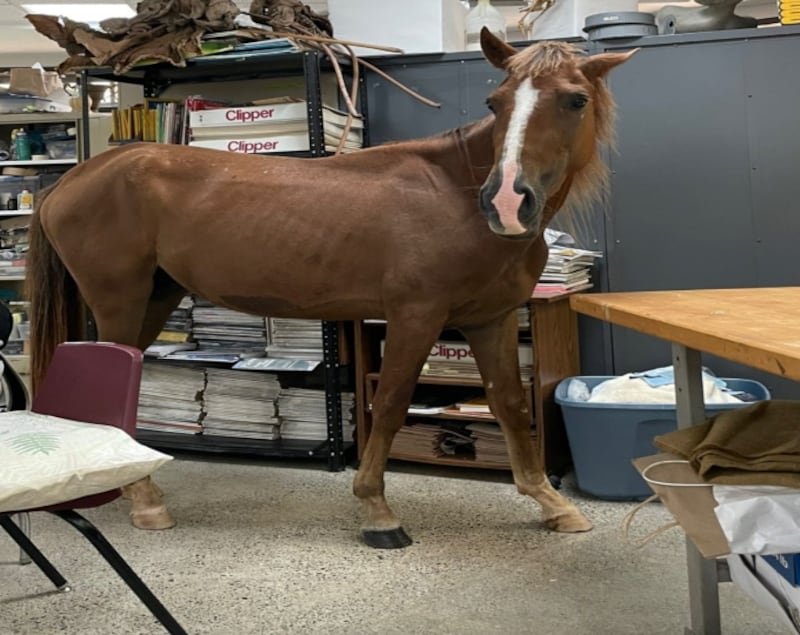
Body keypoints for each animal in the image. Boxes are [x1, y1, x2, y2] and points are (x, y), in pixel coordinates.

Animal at [28, 28, 636, 548]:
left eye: (575, 100)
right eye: (497, 103)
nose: (507, 200)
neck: (455, 192)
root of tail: (73, 179)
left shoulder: (493, 318)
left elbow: (509, 404)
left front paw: (552, 504)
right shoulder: (415, 315)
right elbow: (389, 404)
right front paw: (377, 511)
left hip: (156, 297)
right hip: (120, 299)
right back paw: (146, 502)